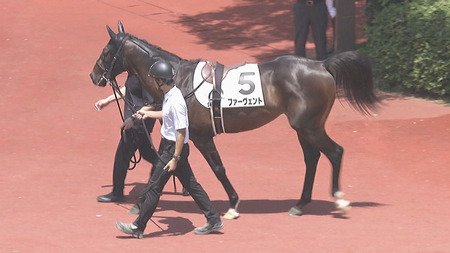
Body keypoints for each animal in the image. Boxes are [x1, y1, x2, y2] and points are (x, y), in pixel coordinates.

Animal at [89, 22, 378, 219]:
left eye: (106, 51)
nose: (94, 76)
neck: (178, 79)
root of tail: (321, 64)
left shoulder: (201, 136)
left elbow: (217, 169)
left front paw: (232, 204)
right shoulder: (179, 136)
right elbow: (162, 166)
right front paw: (141, 203)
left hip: (310, 126)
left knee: (335, 152)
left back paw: (339, 200)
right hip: (303, 127)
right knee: (312, 158)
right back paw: (299, 204)